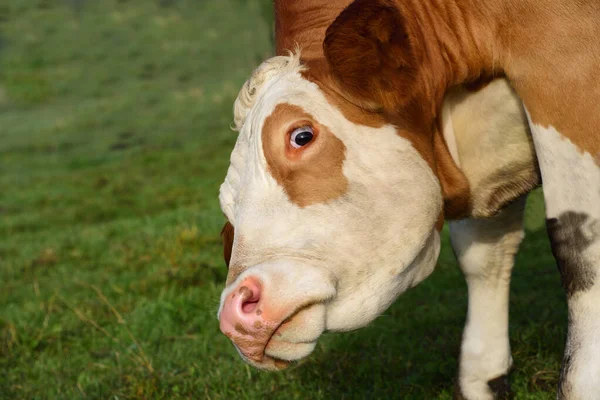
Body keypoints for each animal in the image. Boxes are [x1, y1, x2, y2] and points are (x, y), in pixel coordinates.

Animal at [213, 1, 596, 398]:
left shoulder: (563, 73)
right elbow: (482, 255)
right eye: (227, 204)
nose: (234, 313)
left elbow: (577, 244)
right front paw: (482, 377)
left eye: (301, 136)